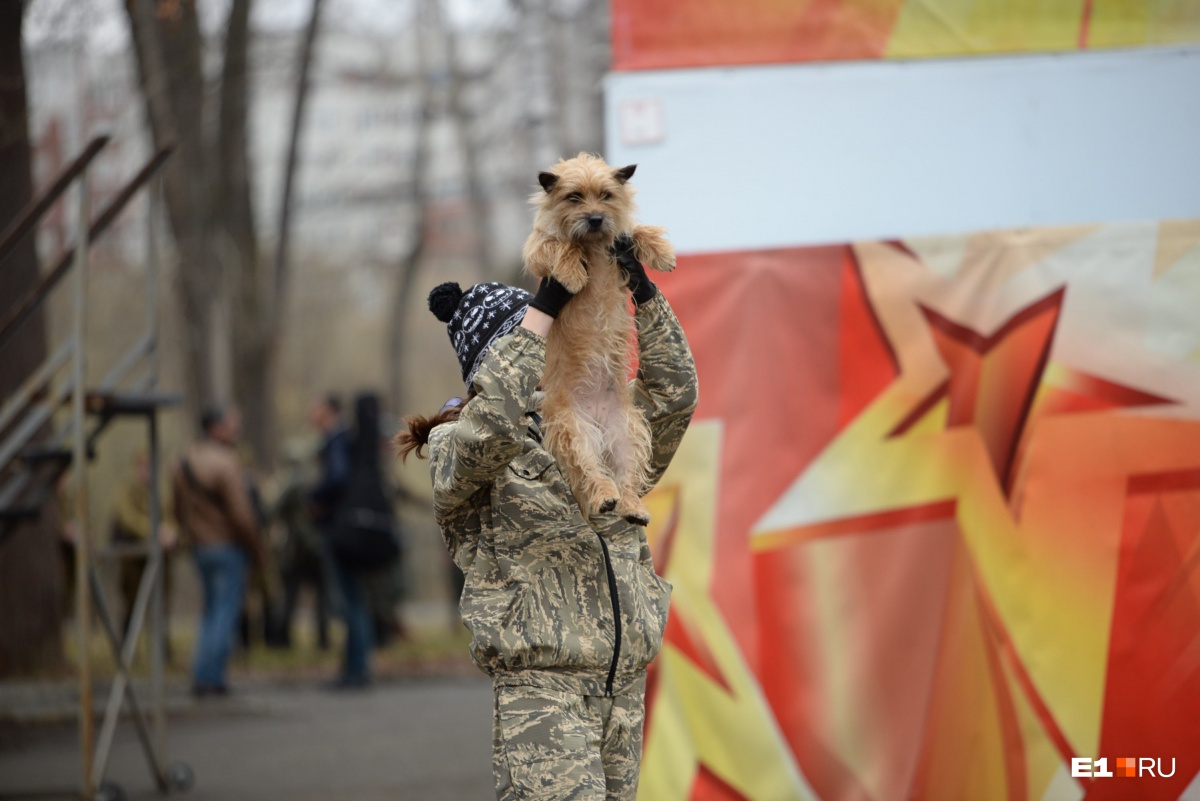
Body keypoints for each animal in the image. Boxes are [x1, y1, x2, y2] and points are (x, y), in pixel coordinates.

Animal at [523, 153, 681, 525]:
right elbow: (558, 245)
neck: (593, 246)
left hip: (629, 433)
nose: (595, 219)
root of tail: (596, 420)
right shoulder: (536, 248)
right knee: (590, 471)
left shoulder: (619, 240)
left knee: (627, 478)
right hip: (573, 433)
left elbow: (633, 231)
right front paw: (570, 273)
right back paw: (603, 498)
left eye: (606, 195)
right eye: (574, 197)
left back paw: (631, 507)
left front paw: (661, 251)